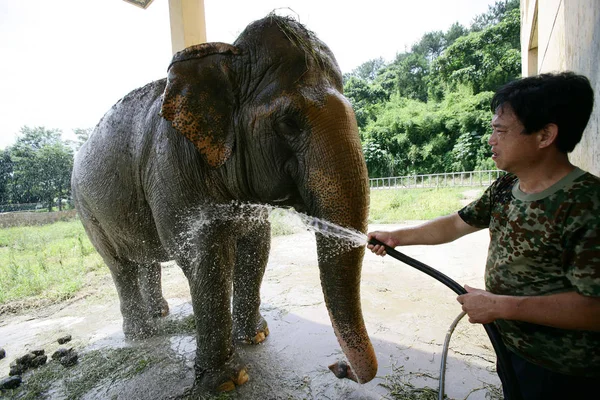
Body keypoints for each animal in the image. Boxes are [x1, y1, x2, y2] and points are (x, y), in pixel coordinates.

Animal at [72, 14, 378, 390]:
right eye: (288, 122)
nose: (340, 367)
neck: (225, 58)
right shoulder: (171, 168)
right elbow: (205, 259)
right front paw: (227, 382)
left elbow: (257, 246)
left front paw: (256, 338)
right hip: (87, 210)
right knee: (120, 265)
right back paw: (141, 334)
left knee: (144, 260)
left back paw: (160, 313)